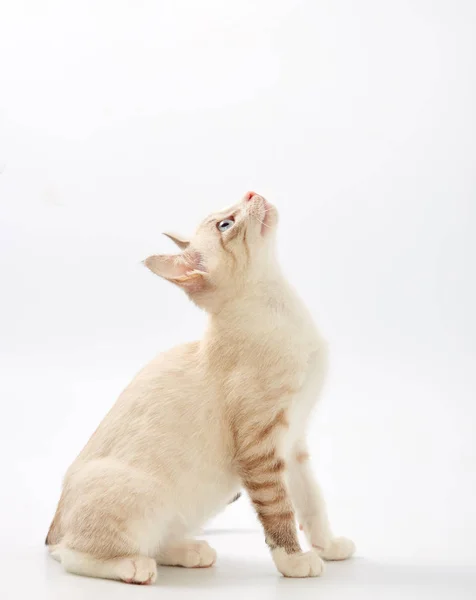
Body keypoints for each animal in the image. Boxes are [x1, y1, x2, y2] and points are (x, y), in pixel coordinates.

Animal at [47, 191, 354, 580]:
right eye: (226, 224)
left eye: (231, 213)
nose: (252, 193)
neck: (282, 307)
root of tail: (53, 528)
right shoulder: (261, 450)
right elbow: (279, 510)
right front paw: (294, 561)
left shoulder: (293, 443)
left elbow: (312, 502)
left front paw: (328, 546)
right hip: (139, 500)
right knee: (73, 554)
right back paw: (133, 566)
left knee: (153, 541)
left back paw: (190, 551)